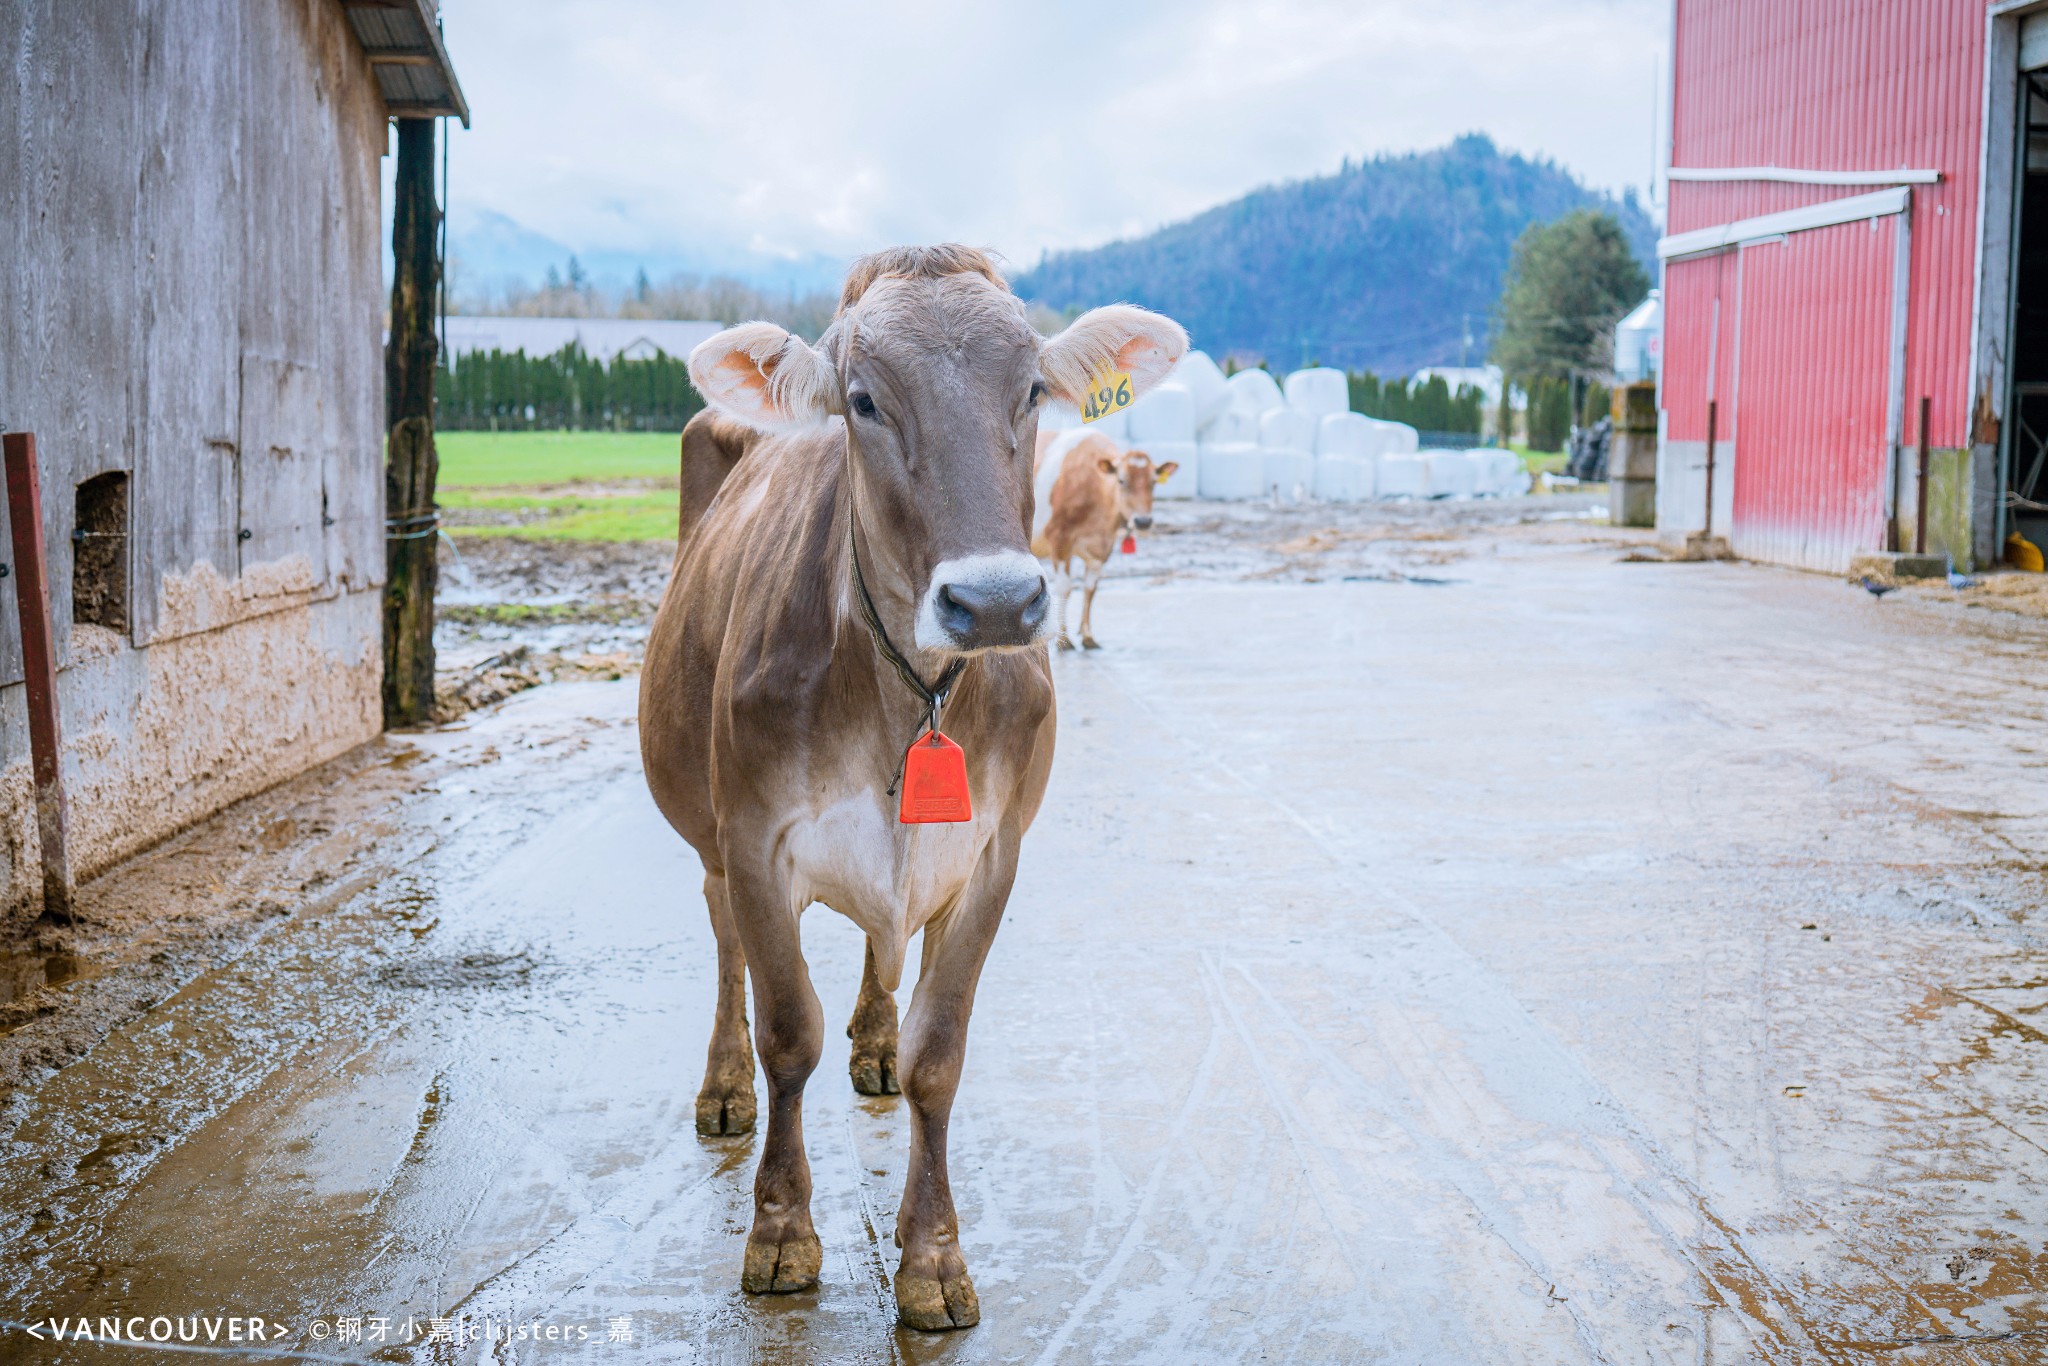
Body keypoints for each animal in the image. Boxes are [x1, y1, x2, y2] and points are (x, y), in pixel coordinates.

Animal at [1032, 432, 1179, 655]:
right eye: (1121, 480)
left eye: (1153, 482)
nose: (1143, 521)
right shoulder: (1059, 539)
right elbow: (1065, 587)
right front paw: (1064, 641)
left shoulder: (1103, 549)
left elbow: (1090, 588)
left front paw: (1088, 636)